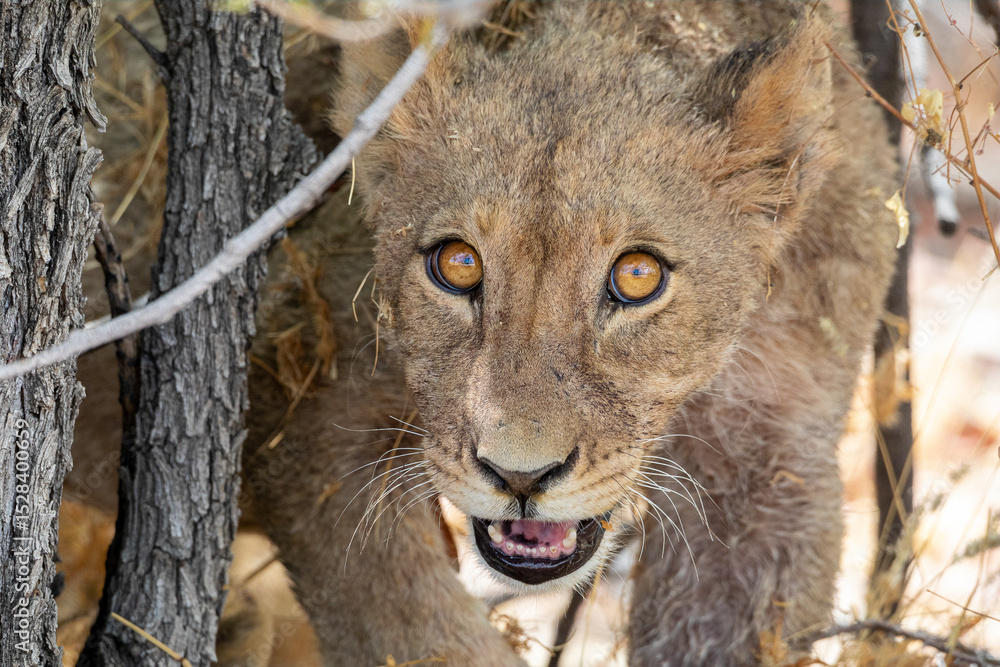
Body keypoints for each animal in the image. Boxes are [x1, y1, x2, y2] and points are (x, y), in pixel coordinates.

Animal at [242, 2, 899, 665]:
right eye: (458, 264)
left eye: (638, 275)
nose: (520, 478)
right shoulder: (304, 381)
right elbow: (415, 628)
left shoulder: (768, 456)